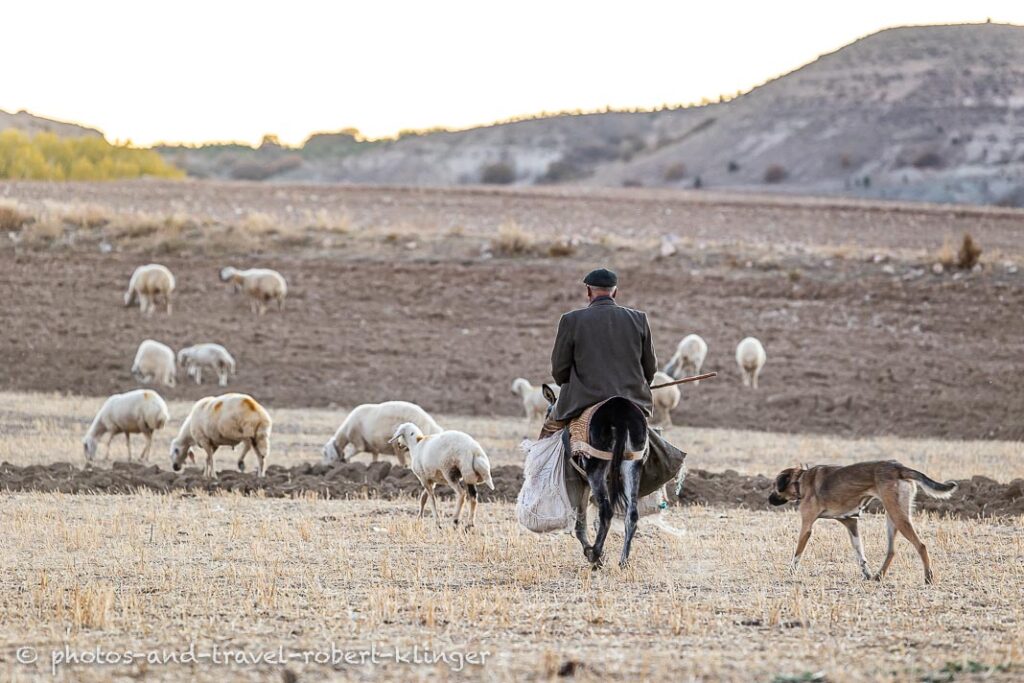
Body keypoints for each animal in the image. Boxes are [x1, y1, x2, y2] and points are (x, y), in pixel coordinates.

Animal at [770, 458, 958, 581]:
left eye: (774, 487)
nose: (768, 500)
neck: (800, 480)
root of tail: (898, 467)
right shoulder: (851, 523)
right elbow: (860, 554)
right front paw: (866, 573)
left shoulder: (807, 526)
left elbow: (797, 554)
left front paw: (790, 574)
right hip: (892, 517)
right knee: (891, 551)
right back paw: (878, 576)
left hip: (898, 516)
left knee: (921, 546)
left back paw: (928, 577)